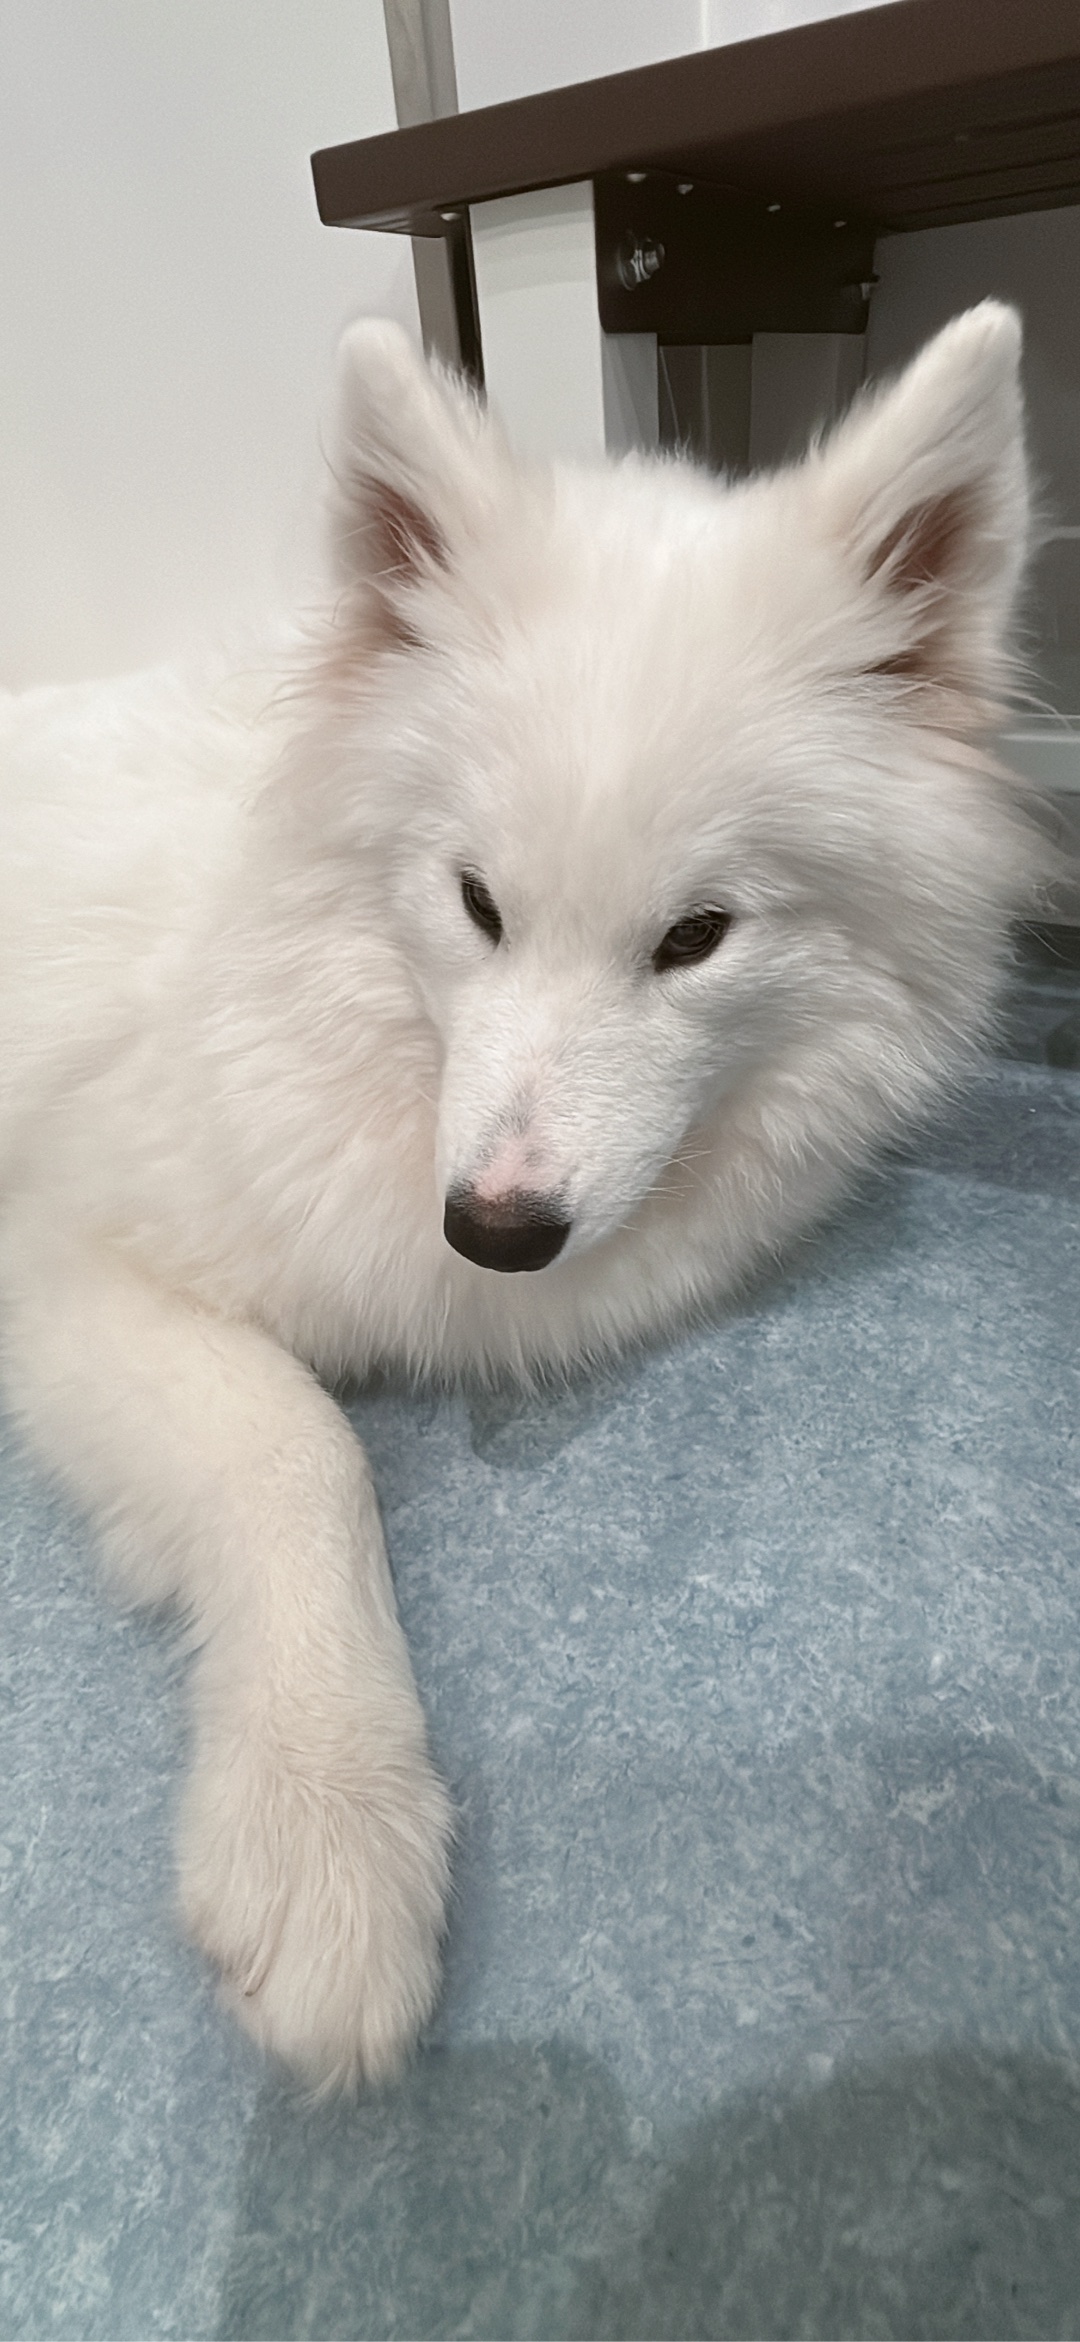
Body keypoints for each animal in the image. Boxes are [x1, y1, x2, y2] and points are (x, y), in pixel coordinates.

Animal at [0, 302, 1046, 2090]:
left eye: (697, 936)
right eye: (475, 901)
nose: (494, 1231)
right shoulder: (65, 1253)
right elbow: (299, 1450)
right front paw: (327, 1817)